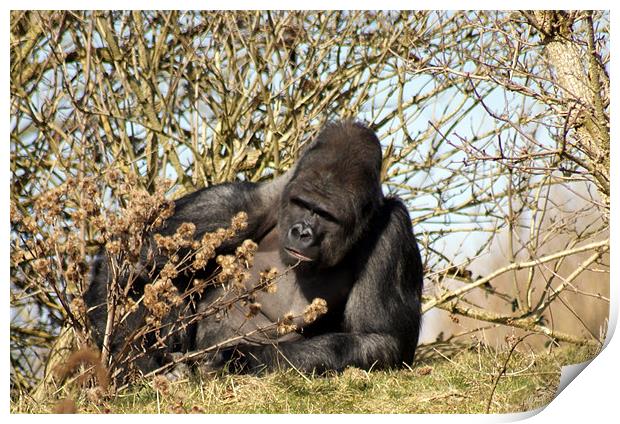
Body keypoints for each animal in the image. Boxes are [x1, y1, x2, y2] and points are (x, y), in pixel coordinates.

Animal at [85, 121, 424, 376]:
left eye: (326, 215)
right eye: (302, 204)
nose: (302, 232)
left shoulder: (393, 230)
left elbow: (378, 340)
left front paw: (239, 359)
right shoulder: (238, 203)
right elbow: (134, 261)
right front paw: (130, 359)